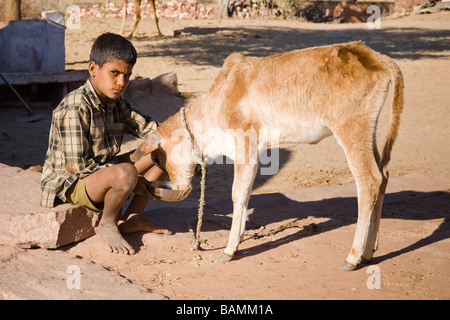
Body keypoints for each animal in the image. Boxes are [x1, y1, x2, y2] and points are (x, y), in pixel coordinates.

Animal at [130, 41, 404, 272]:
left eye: (158, 159)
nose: (178, 187)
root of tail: (372, 56)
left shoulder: (244, 145)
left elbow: (237, 193)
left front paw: (229, 250)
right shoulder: (254, 152)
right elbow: (246, 193)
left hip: (351, 129)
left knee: (369, 180)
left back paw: (353, 256)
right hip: (368, 132)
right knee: (383, 175)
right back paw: (368, 252)